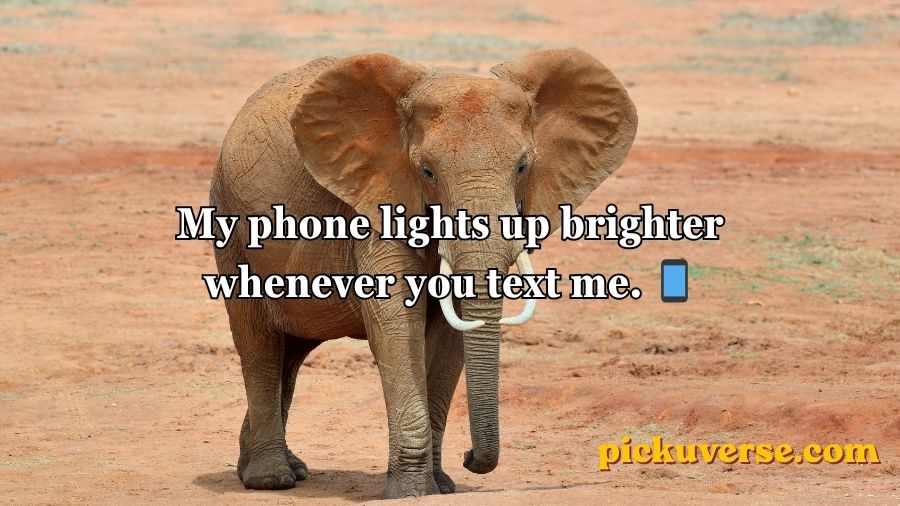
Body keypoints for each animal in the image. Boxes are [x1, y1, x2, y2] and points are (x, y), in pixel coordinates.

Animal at [208, 48, 637, 498]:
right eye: (428, 172)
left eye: (523, 168)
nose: (470, 457)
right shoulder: (379, 195)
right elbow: (396, 321)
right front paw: (410, 492)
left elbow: (451, 334)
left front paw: (441, 486)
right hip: (230, 226)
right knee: (260, 347)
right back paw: (271, 480)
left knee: (289, 354)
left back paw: (284, 468)